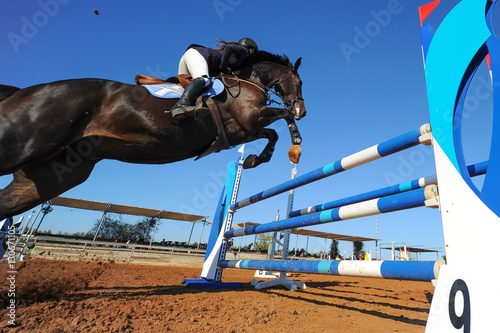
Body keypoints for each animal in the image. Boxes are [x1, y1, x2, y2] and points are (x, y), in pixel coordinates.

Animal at [0, 51, 306, 220]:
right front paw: (294, 144)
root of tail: (19, 92)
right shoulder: (249, 119)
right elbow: (281, 120)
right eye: (299, 82)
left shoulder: (242, 132)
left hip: (52, 176)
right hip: (25, 146)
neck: (246, 81)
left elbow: (271, 133)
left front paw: (256, 159)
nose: (303, 110)